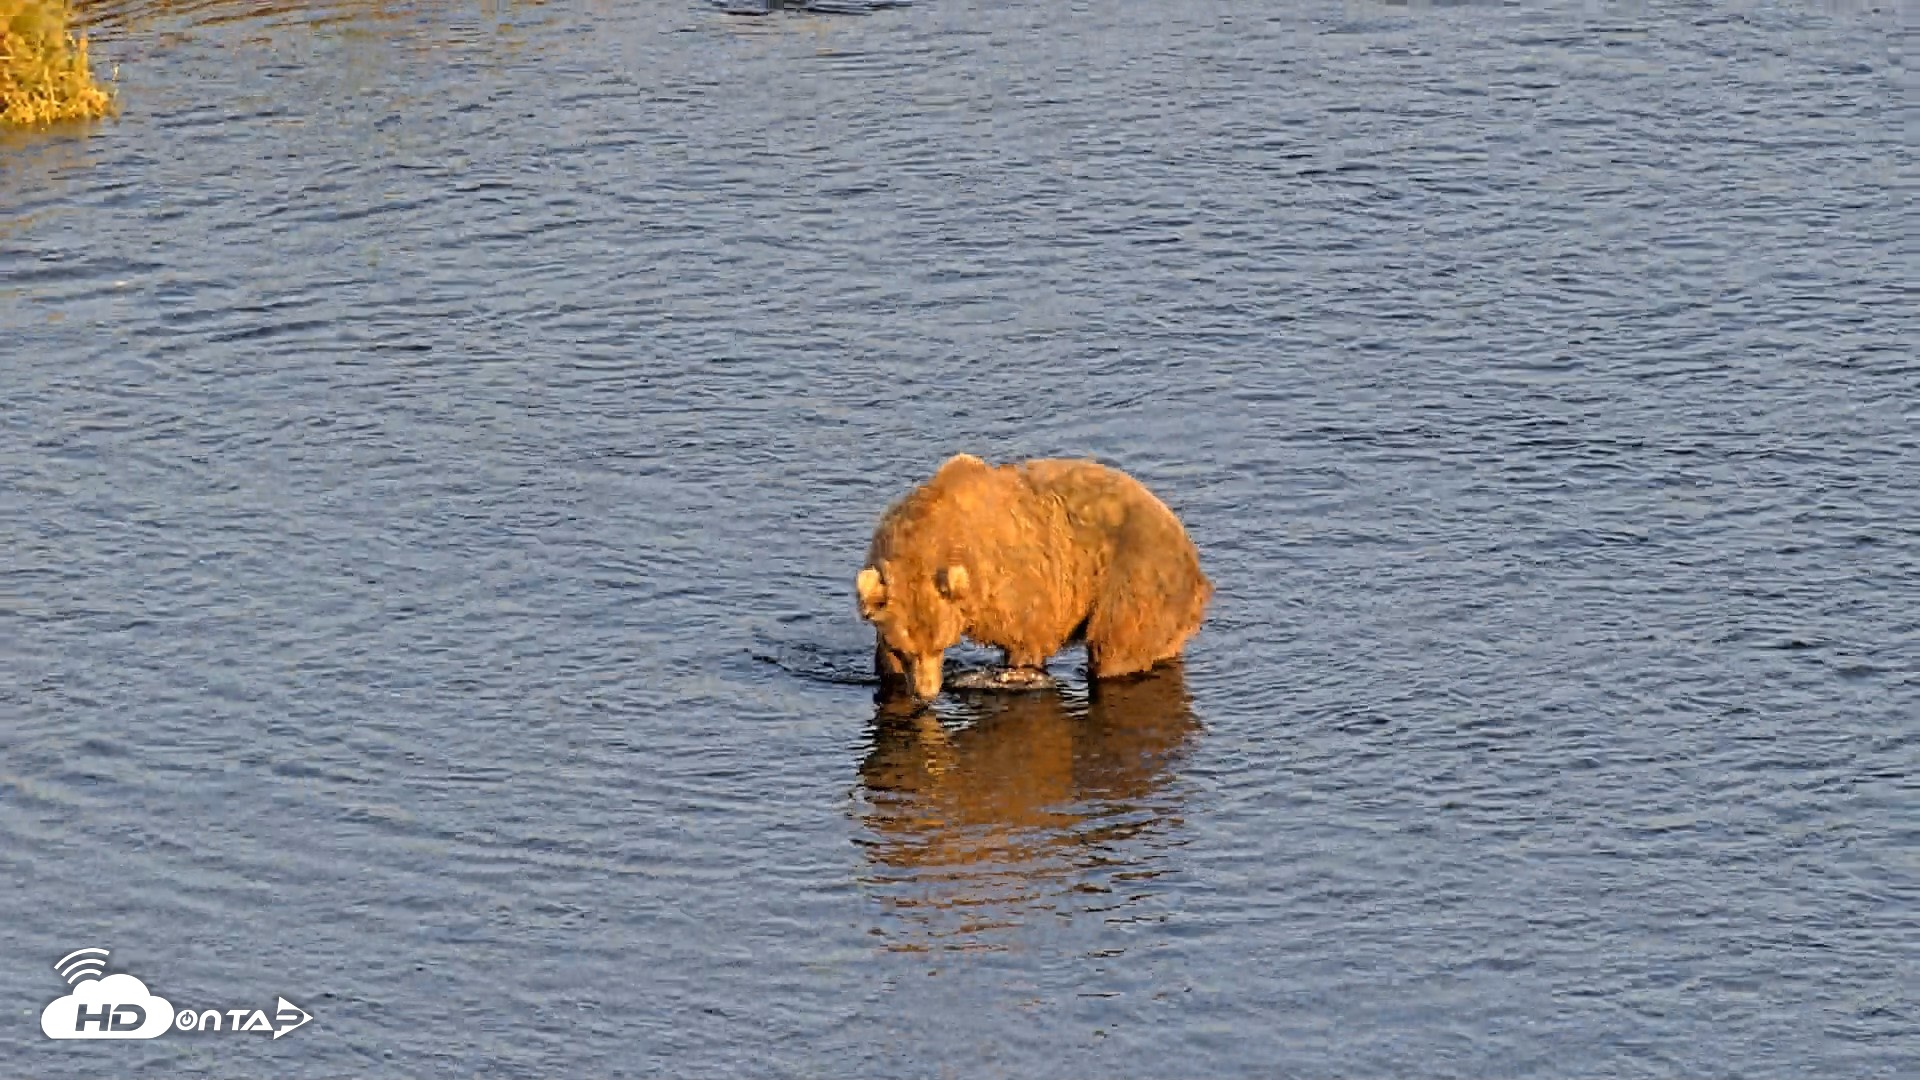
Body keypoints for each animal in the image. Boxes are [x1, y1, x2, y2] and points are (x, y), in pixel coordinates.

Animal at [854, 453, 1212, 701]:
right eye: (907, 649)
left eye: (941, 644)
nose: (926, 694)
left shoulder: (1017, 579)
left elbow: (1026, 635)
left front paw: (1016, 673)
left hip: (1136, 579)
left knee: (1116, 649)